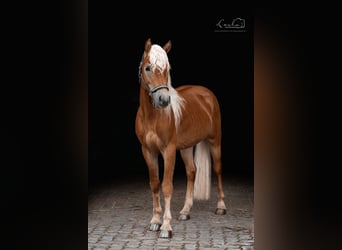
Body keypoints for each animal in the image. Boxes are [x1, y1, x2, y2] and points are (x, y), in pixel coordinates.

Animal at [134, 37, 227, 238]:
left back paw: (221, 207)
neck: (152, 117)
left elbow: (167, 186)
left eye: (167, 69)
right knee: (192, 171)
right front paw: (155, 221)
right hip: (186, 147)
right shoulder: (148, 151)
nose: (163, 100)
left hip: (214, 141)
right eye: (148, 67)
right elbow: (155, 184)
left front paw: (166, 227)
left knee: (217, 170)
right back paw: (185, 211)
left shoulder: (168, 150)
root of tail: (207, 94)